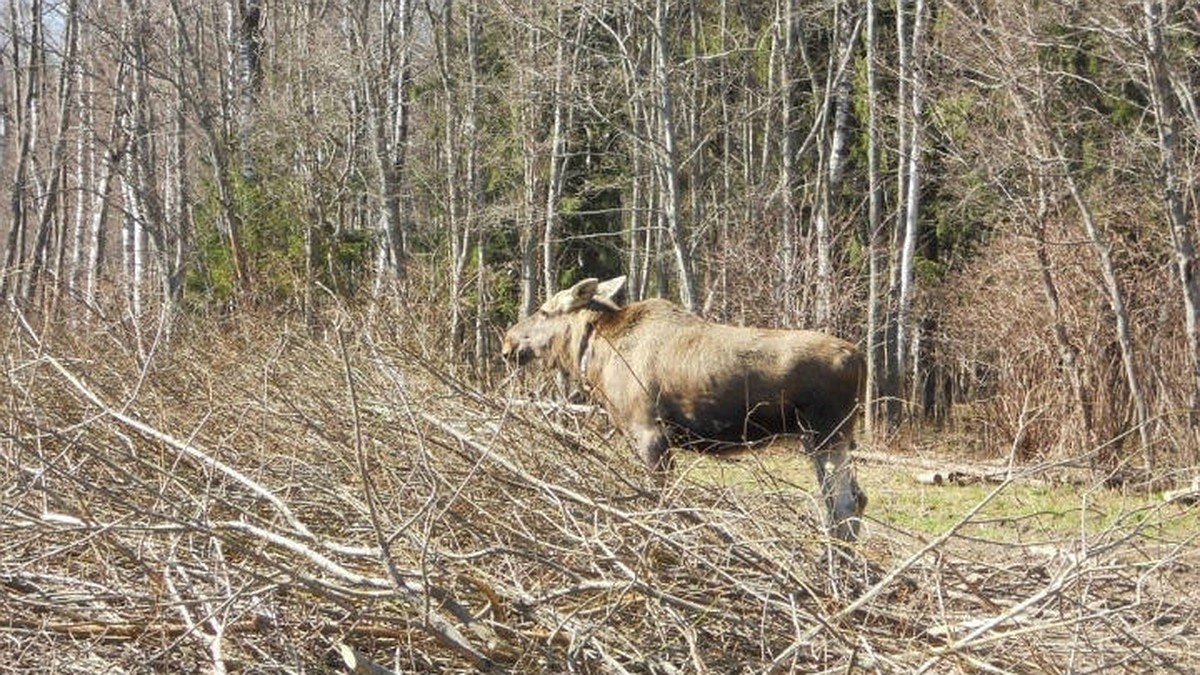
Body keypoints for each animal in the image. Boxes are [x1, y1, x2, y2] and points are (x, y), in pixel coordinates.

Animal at [501, 273, 868, 535]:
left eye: (544, 311)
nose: (507, 341)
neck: (593, 354)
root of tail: (861, 359)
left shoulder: (650, 432)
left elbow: (662, 500)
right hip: (829, 438)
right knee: (856, 499)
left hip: (825, 434)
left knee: (844, 506)